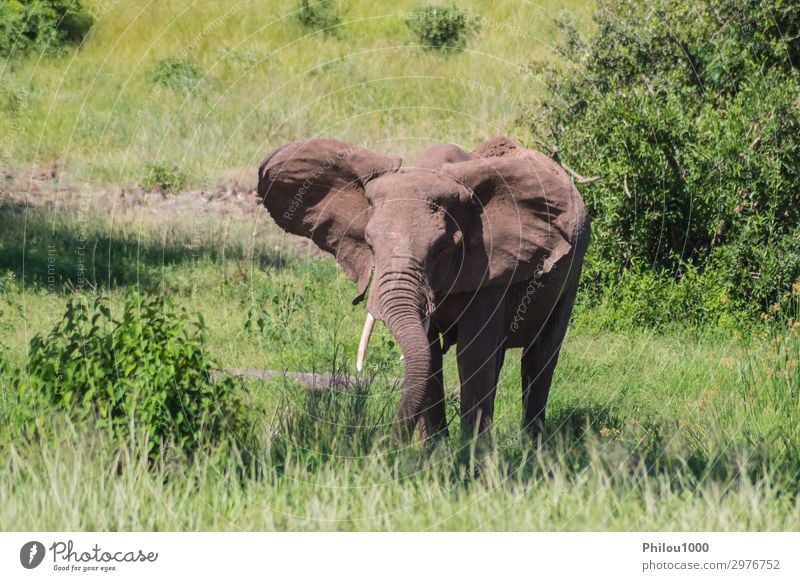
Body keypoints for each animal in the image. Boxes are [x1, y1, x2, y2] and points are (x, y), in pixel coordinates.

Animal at [260, 135, 592, 440]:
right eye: (369, 244)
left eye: (442, 249)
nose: (385, 444)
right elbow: (431, 352)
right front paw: (434, 451)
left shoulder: (490, 264)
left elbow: (473, 353)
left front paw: (471, 455)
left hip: (574, 269)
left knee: (540, 356)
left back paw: (534, 444)